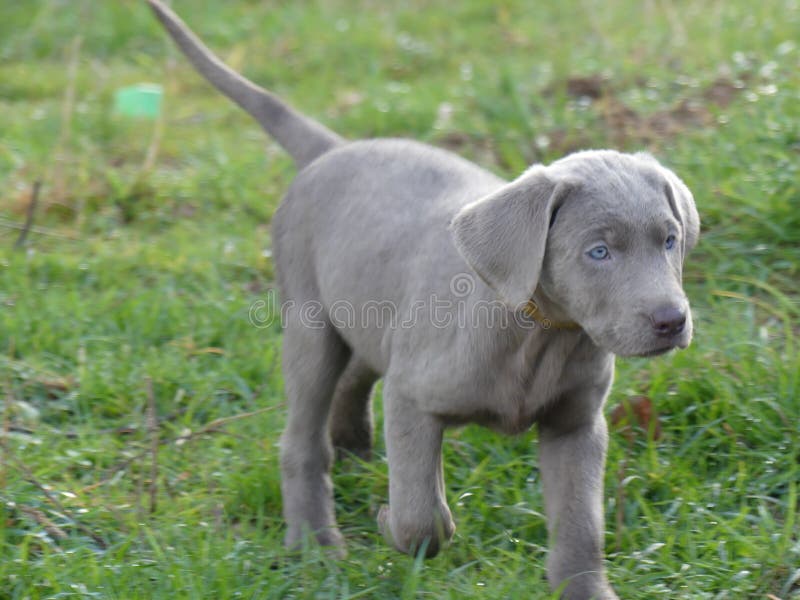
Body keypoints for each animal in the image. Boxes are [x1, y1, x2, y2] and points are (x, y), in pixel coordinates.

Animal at [150, 2, 700, 596]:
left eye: (669, 240)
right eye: (598, 252)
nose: (671, 320)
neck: (538, 338)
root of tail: (335, 149)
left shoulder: (575, 424)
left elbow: (581, 522)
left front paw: (583, 588)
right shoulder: (413, 397)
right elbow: (420, 514)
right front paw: (393, 523)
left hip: (369, 310)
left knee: (356, 374)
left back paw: (353, 448)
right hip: (309, 323)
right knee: (302, 438)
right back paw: (316, 546)